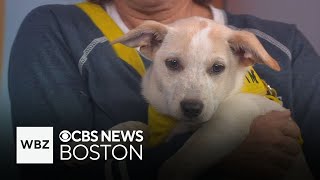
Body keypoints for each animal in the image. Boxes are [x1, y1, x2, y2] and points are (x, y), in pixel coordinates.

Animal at [112, 16, 312, 180]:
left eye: (217, 68)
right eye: (173, 63)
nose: (192, 108)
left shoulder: (227, 120)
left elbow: (181, 159)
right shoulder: (159, 131)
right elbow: (131, 127)